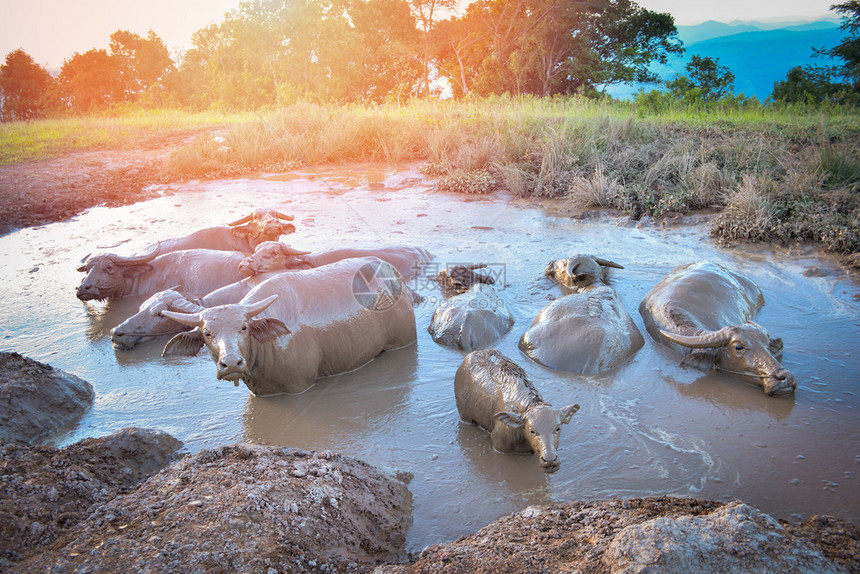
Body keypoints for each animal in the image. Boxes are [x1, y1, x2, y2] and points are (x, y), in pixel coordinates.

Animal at [162, 258, 420, 398]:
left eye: (244, 327)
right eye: (207, 333)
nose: (232, 363)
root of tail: (393, 273)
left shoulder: (299, 386)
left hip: (402, 341)